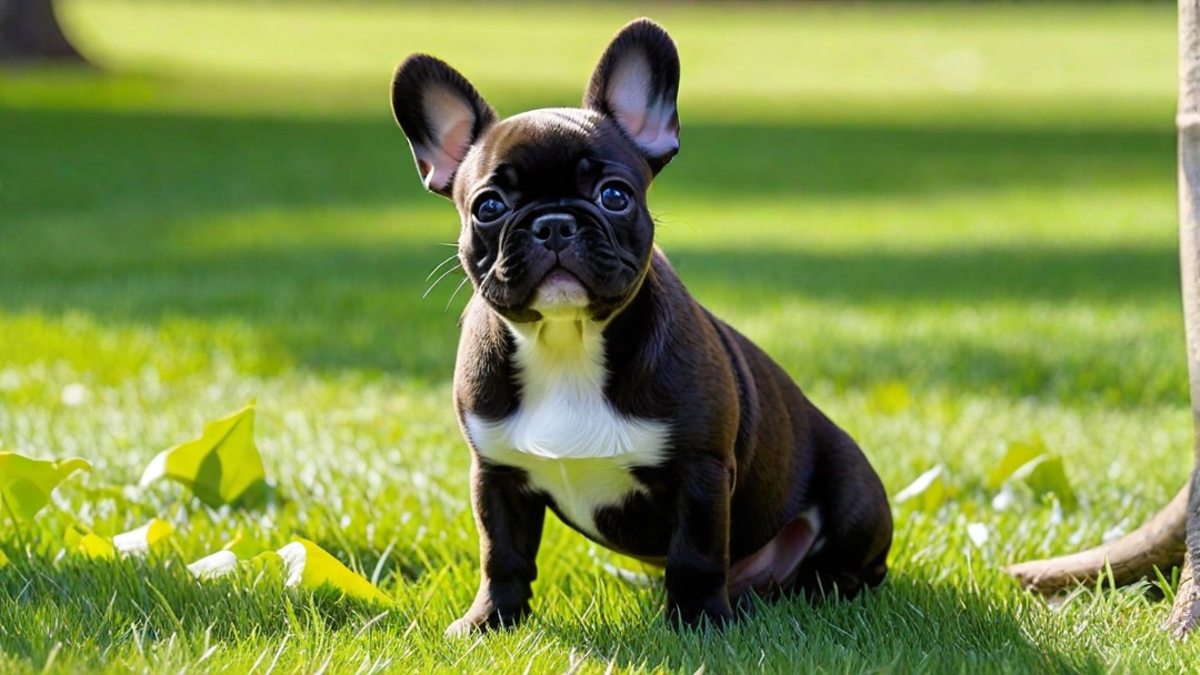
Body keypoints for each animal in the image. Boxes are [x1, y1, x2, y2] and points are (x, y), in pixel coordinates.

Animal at [393, 17, 892, 634]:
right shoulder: (496, 473)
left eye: (614, 196)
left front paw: (699, 623)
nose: (554, 223)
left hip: (855, 501)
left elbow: (696, 553)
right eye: (488, 207)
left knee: (853, 566)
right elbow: (501, 553)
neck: (567, 341)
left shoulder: (699, 471)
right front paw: (490, 622)